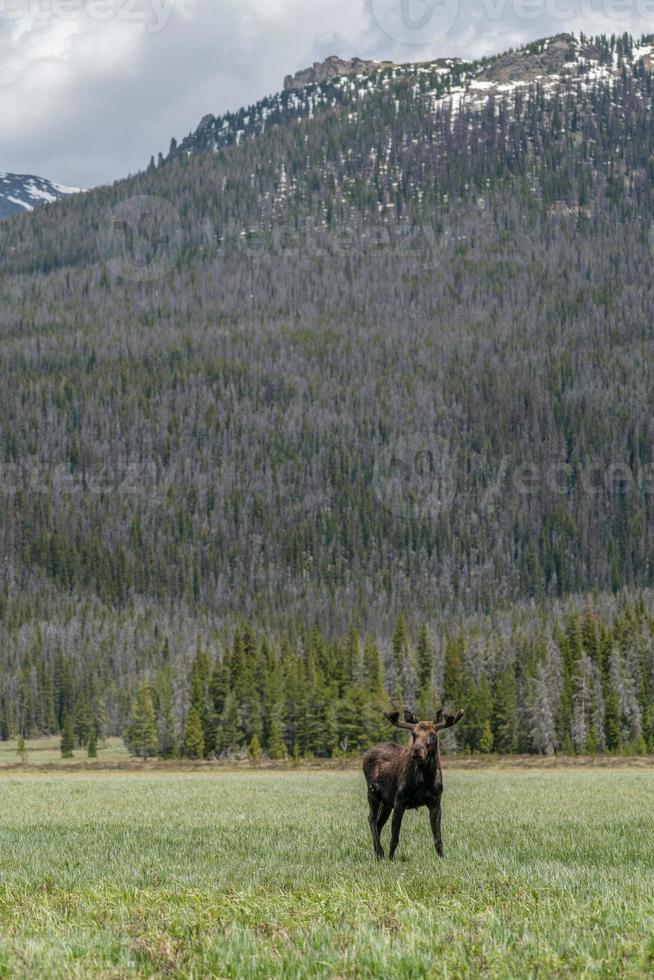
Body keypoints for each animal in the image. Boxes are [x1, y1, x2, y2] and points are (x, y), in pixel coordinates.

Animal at [364, 708, 466, 860]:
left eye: (433, 734)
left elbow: (438, 838)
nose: (417, 750)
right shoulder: (399, 801)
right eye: (413, 734)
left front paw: (442, 858)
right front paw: (391, 859)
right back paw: (381, 853)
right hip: (372, 792)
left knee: (378, 823)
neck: (425, 778)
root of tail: (365, 754)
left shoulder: (435, 802)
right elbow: (395, 837)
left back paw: (377, 853)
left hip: (386, 802)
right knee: (371, 819)